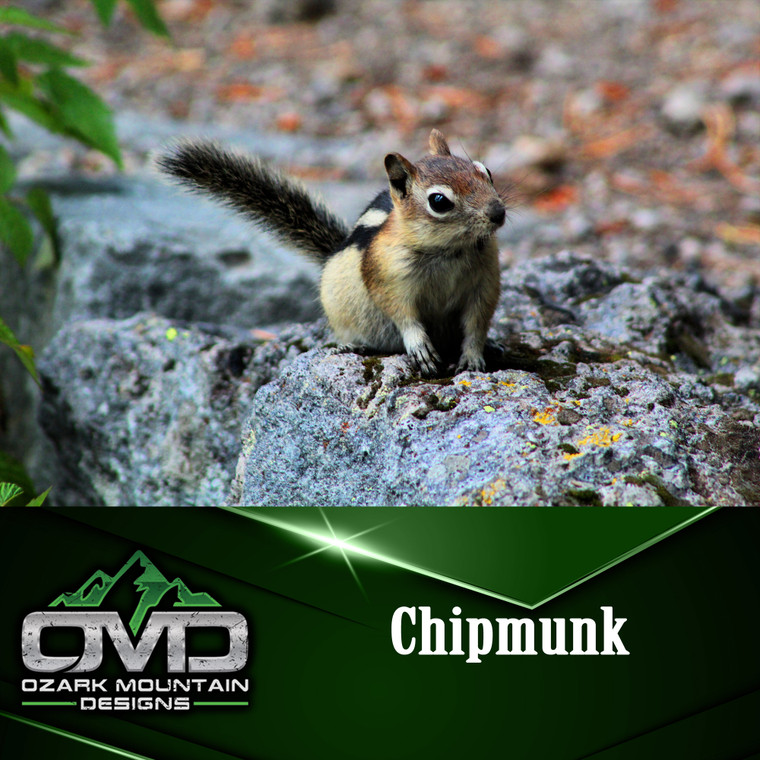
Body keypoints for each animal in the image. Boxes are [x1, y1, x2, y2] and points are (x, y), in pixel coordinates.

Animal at [157, 129, 506, 376]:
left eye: (486, 171)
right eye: (439, 201)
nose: (498, 212)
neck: (450, 251)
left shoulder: (485, 281)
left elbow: (477, 321)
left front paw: (473, 356)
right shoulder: (389, 276)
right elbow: (401, 313)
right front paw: (418, 346)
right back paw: (355, 346)